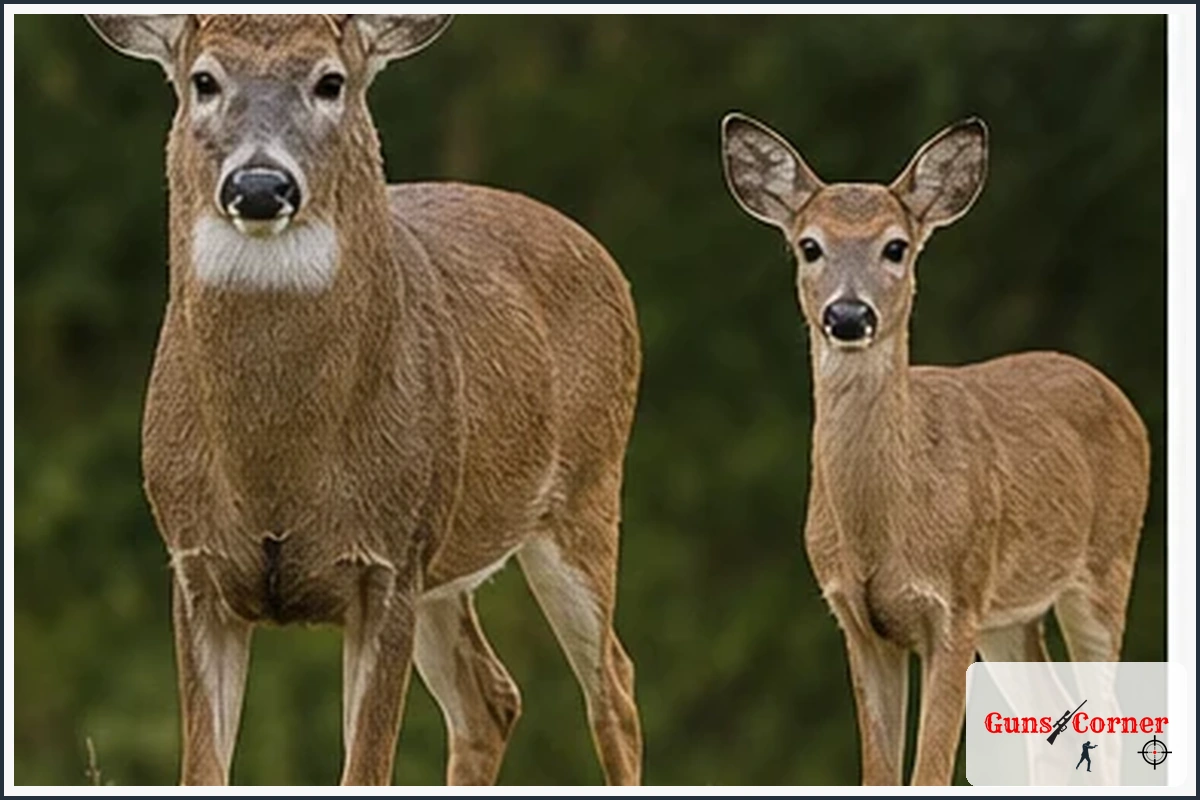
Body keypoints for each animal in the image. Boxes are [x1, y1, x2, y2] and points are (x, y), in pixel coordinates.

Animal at [84, 14, 642, 786]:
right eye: (204, 79)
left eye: (330, 81)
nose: (261, 185)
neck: (274, 473)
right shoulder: (193, 563)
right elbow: (202, 770)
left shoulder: (389, 563)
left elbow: (366, 767)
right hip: (448, 561)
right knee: (489, 699)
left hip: (585, 493)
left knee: (613, 689)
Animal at [721, 113, 1150, 785]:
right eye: (809, 245)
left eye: (895, 246)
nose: (848, 315)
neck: (882, 529)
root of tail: (1115, 393)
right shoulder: (857, 621)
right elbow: (878, 774)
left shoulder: (955, 603)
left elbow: (930, 771)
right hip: (1011, 616)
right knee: (1051, 722)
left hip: (1106, 564)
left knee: (1104, 726)